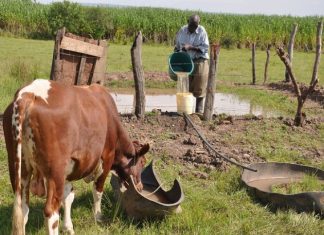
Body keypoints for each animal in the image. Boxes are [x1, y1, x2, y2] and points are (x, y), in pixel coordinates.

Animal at [2, 79, 149, 235]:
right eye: (142, 162)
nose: (140, 186)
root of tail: (28, 93)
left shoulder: (69, 168)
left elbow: (68, 197)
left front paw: (68, 227)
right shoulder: (107, 157)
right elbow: (98, 190)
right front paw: (98, 216)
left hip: (19, 168)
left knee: (22, 209)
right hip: (55, 171)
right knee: (51, 212)